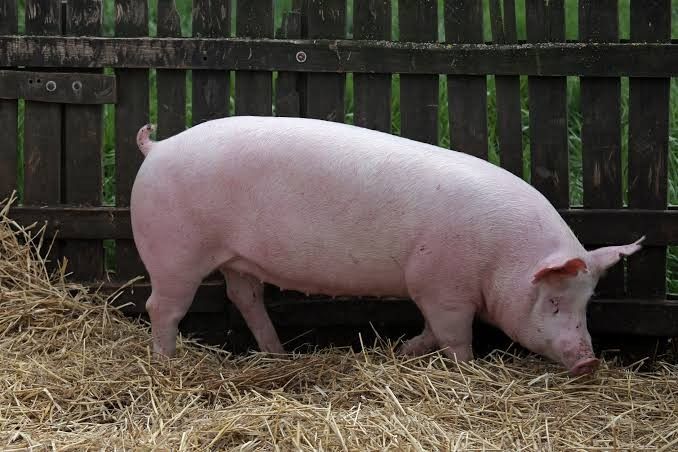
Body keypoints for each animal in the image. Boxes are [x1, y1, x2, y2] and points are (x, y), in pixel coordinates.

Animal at [131, 116, 644, 376]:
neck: (503, 258)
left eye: (586, 302)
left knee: (246, 297)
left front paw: (401, 352)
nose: (589, 361)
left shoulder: (436, 291)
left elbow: (432, 332)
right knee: (162, 307)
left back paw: (278, 355)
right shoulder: (439, 286)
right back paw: (165, 365)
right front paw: (466, 370)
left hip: (236, 258)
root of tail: (157, 148)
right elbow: (454, 336)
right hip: (174, 252)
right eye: (554, 301)